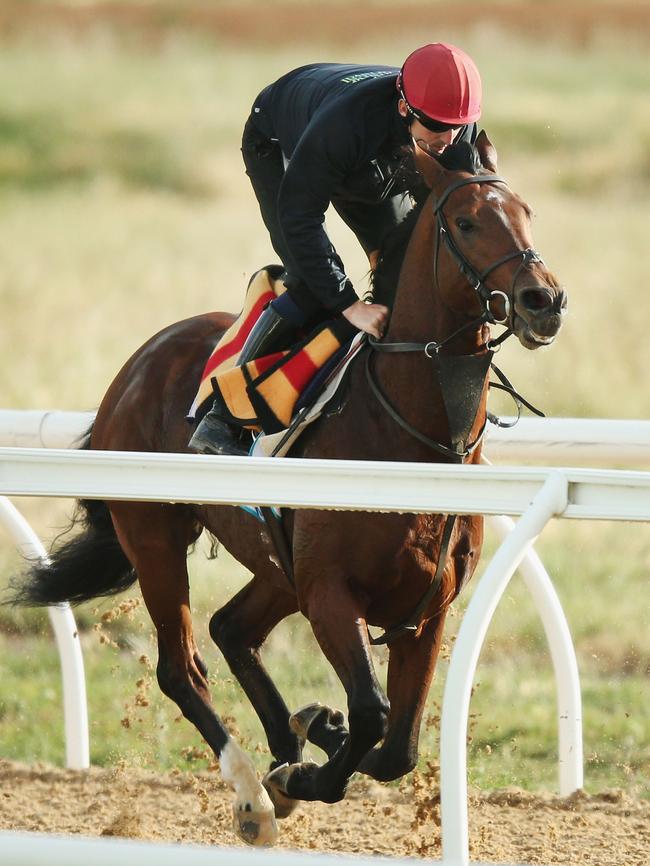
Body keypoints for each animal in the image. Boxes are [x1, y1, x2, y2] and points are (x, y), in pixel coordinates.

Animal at [12, 135, 564, 844]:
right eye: (467, 222)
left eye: (526, 212)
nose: (543, 300)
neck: (412, 438)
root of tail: (139, 363)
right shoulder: (330, 593)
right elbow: (373, 713)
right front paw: (305, 770)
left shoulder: (427, 607)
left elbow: (398, 746)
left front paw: (315, 735)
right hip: (156, 537)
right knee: (182, 668)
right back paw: (254, 795)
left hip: (276, 564)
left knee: (231, 628)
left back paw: (288, 740)